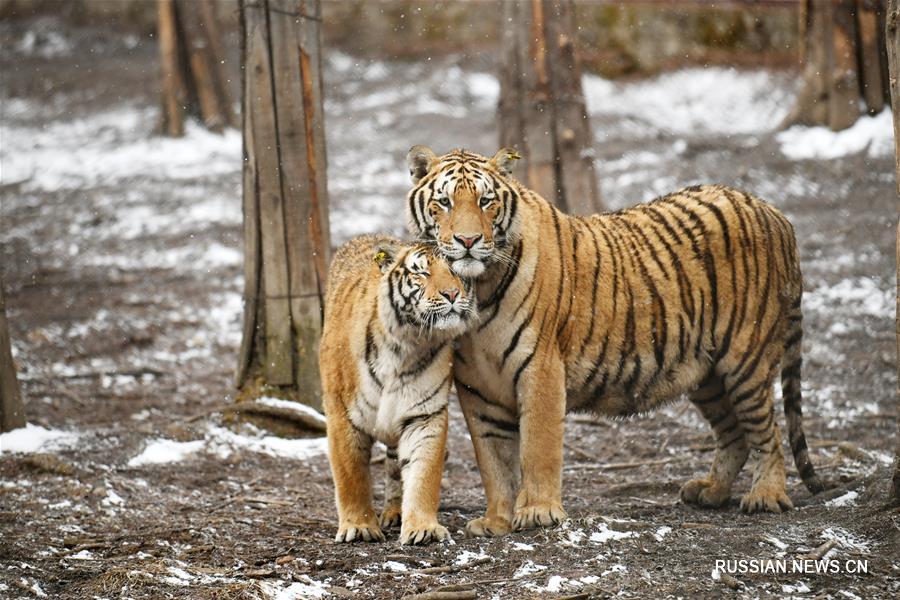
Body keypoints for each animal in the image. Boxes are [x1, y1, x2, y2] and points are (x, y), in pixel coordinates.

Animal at [320, 233, 474, 544]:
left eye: (456, 270)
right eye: (422, 273)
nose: (452, 294)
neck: (408, 342)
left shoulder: (424, 414)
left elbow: (423, 474)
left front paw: (423, 528)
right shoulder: (342, 413)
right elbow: (351, 475)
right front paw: (359, 527)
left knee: (394, 467)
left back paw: (394, 512)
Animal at [406, 146, 824, 540]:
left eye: (485, 201)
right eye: (444, 202)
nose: (468, 240)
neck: (479, 289)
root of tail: (773, 210)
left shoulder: (541, 368)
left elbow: (538, 448)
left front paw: (539, 512)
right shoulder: (477, 387)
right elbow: (494, 460)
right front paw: (497, 521)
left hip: (745, 359)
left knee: (767, 432)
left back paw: (766, 496)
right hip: (707, 373)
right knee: (734, 433)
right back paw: (711, 490)